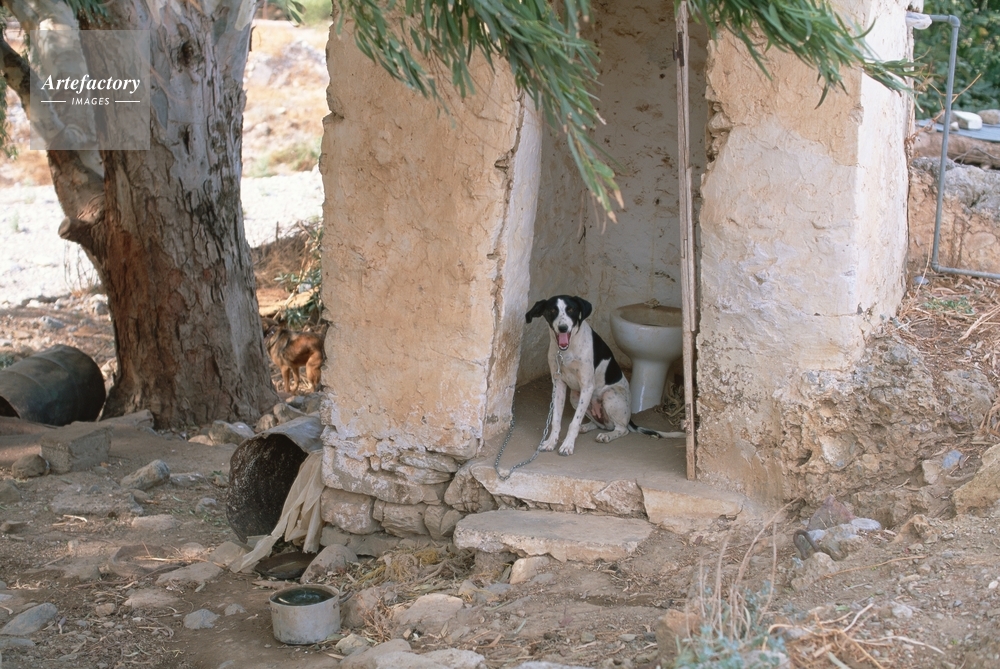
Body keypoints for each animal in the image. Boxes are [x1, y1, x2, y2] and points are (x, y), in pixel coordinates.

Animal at [525, 295, 683, 456]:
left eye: (571, 309)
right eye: (552, 310)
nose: (563, 328)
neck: (565, 351)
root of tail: (629, 418)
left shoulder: (587, 386)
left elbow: (574, 422)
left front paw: (568, 445)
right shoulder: (559, 384)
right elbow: (556, 420)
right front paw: (551, 442)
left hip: (610, 395)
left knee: (622, 429)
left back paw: (607, 436)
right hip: (575, 397)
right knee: (601, 424)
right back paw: (586, 427)